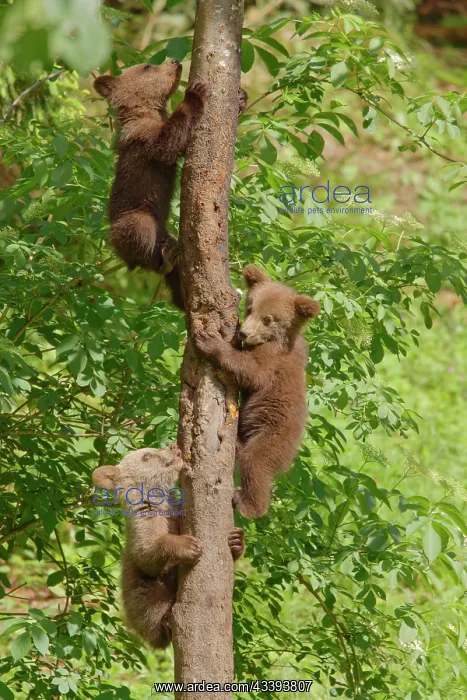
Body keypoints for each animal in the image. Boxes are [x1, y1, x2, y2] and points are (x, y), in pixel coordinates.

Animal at [92, 444, 244, 648]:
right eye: (146, 456)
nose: (172, 446)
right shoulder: (144, 524)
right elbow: (147, 553)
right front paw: (188, 545)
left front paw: (236, 541)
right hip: (140, 595)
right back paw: (164, 624)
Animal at [94, 62, 248, 309]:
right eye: (148, 66)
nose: (176, 61)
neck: (146, 110)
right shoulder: (143, 136)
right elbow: (168, 141)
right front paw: (194, 93)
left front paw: (241, 97)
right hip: (135, 217)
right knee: (142, 233)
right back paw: (164, 261)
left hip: (164, 233)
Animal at [194, 265, 320, 519]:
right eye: (251, 307)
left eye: (268, 319)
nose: (243, 333)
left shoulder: (274, 361)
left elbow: (251, 371)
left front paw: (209, 341)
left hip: (273, 437)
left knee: (256, 464)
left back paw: (247, 503)